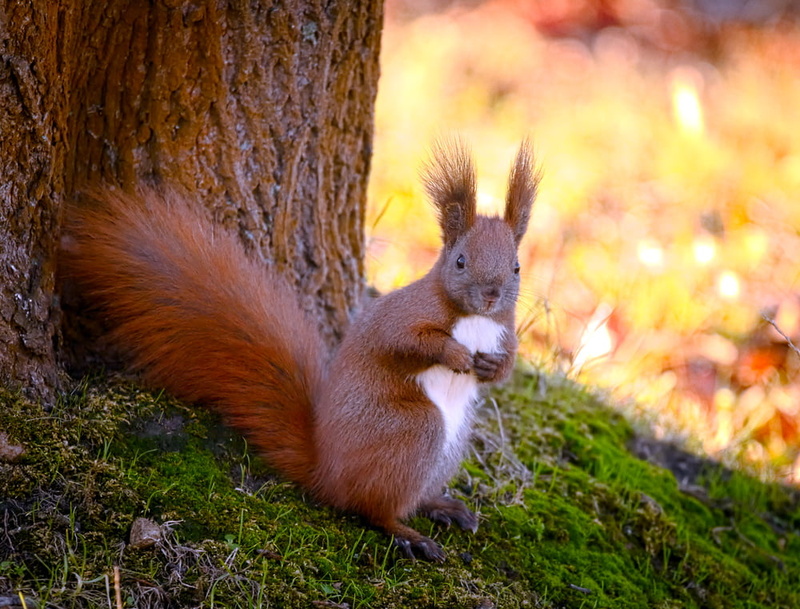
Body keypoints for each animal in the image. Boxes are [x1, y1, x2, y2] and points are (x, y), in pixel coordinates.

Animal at [60, 139, 539, 561]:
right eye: (460, 261)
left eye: (517, 267)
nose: (492, 294)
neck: (474, 320)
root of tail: (326, 471)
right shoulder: (402, 316)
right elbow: (408, 341)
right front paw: (455, 355)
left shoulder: (505, 331)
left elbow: (509, 359)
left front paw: (491, 368)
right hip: (413, 429)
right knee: (372, 510)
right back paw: (409, 534)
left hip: (449, 446)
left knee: (407, 499)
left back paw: (442, 506)